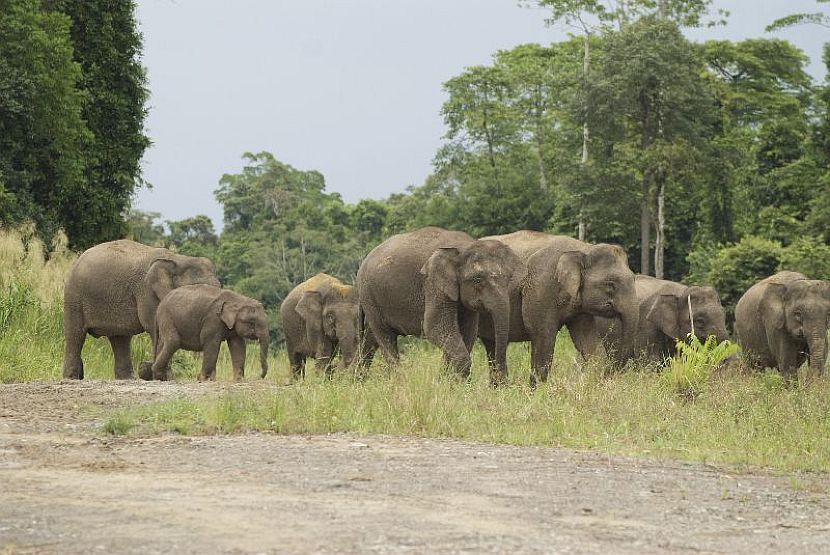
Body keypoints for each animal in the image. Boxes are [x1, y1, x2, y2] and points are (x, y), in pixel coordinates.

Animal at [63, 241, 221, 380]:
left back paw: (127, 379)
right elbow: (158, 330)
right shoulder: (147, 293)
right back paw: (71, 378)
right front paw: (166, 378)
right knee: (75, 334)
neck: (177, 259)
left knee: (120, 338)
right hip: (74, 297)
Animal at [358, 228, 528, 384]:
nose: (503, 381)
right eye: (477, 280)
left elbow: (467, 331)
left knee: (371, 337)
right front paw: (457, 384)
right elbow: (436, 327)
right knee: (385, 336)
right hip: (369, 296)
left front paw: (444, 383)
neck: (464, 246)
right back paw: (398, 382)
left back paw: (358, 380)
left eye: (508, 279)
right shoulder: (433, 283)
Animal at [478, 230, 640, 386]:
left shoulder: (578, 306)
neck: (583, 249)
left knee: (492, 345)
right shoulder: (541, 288)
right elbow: (543, 336)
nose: (609, 374)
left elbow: (588, 342)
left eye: (633, 279)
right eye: (610, 284)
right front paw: (539, 390)